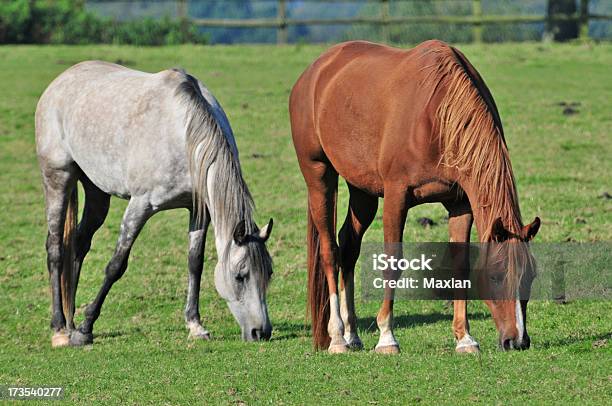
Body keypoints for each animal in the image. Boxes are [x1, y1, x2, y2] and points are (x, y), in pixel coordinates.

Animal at [34, 61, 272, 348]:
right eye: (240, 276)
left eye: (269, 274)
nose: (261, 332)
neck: (183, 134)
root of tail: (60, 81)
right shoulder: (140, 206)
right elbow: (116, 265)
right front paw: (85, 328)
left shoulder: (198, 210)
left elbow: (195, 263)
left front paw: (195, 325)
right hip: (57, 177)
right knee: (55, 249)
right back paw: (60, 328)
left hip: (97, 192)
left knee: (79, 244)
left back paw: (70, 322)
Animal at [290, 39, 536, 354]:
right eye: (496, 275)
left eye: (530, 275)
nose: (518, 340)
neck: (437, 115)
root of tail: (313, 72)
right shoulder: (397, 195)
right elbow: (392, 263)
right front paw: (386, 337)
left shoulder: (461, 203)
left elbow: (460, 266)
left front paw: (465, 338)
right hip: (319, 176)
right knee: (330, 251)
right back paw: (337, 337)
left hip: (362, 191)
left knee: (348, 246)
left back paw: (352, 334)